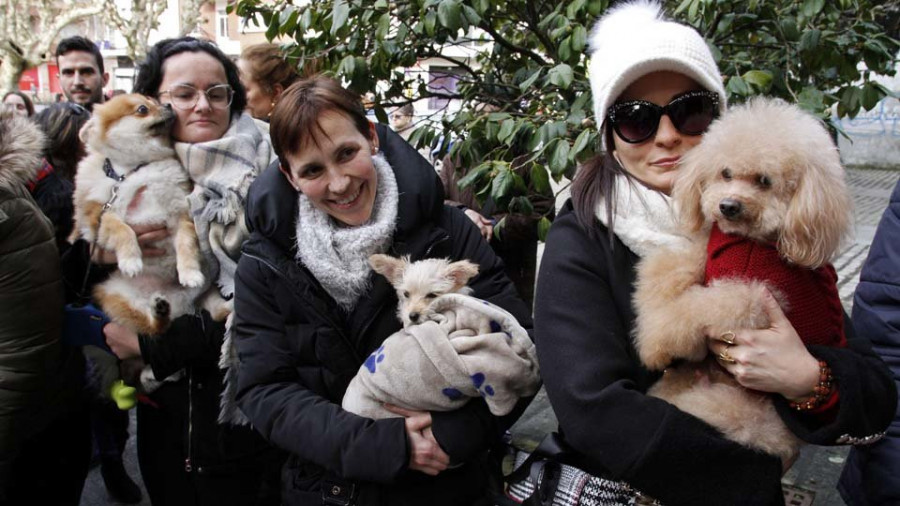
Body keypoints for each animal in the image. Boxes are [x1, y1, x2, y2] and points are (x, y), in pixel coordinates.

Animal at [632, 97, 852, 464]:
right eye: (726, 173)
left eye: (764, 180)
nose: (728, 206)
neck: (747, 242)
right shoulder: (710, 252)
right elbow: (670, 266)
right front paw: (651, 305)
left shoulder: (752, 296)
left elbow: (692, 309)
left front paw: (654, 344)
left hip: (744, 411)